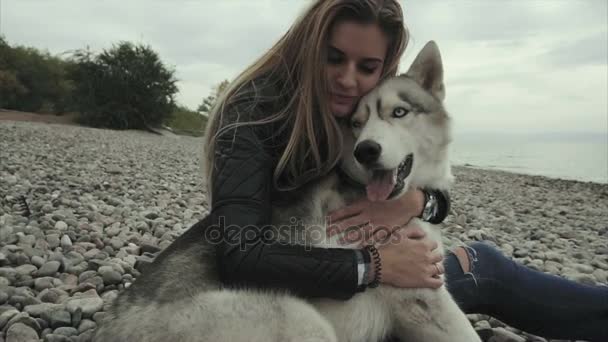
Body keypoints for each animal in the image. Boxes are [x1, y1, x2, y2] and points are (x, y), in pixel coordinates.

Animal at [92, 42, 480, 342]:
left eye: (399, 112)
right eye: (357, 124)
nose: (366, 150)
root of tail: (107, 327)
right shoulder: (425, 301)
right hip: (304, 321)